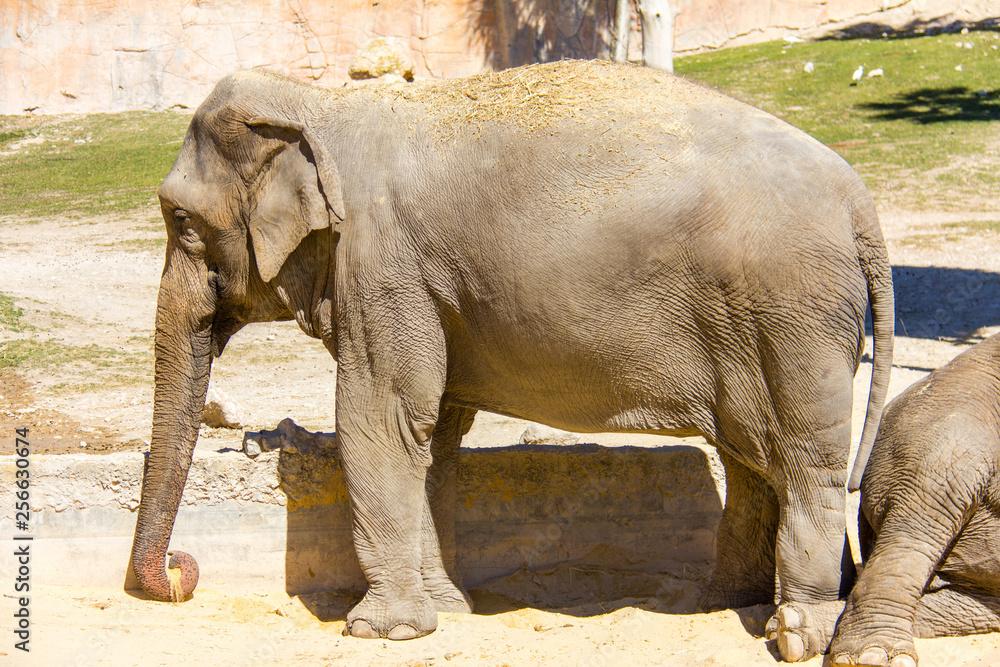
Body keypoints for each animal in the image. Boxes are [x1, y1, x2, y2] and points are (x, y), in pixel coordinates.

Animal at [127, 59, 894, 655]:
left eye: (181, 221)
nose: (184, 571)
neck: (321, 105)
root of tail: (862, 203)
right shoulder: (423, 288)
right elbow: (432, 432)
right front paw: (450, 610)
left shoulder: (381, 266)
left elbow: (379, 418)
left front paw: (381, 632)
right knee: (749, 454)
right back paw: (719, 606)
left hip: (793, 313)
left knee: (802, 457)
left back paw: (797, 632)